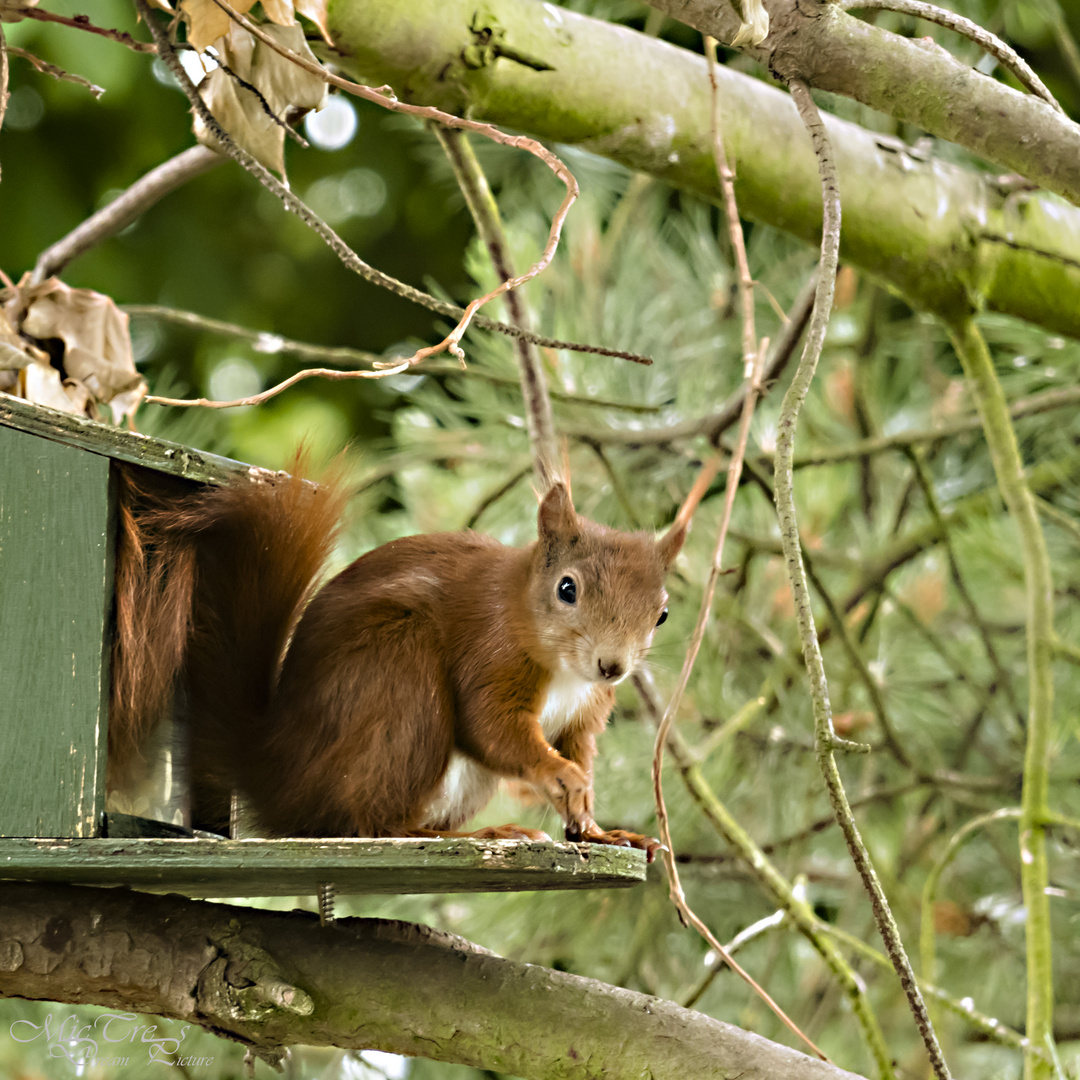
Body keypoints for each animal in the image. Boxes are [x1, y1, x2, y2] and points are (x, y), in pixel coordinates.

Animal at [109, 460, 682, 855]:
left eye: (662, 614)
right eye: (567, 589)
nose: (613, 667)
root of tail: (278, 770)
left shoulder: (584, 713)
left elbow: (578, 750)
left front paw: (600, 830)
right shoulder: (490, 650)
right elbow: (490, 726)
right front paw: (560, 776)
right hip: (399, 674)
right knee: (376, 824)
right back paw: (478, 836)